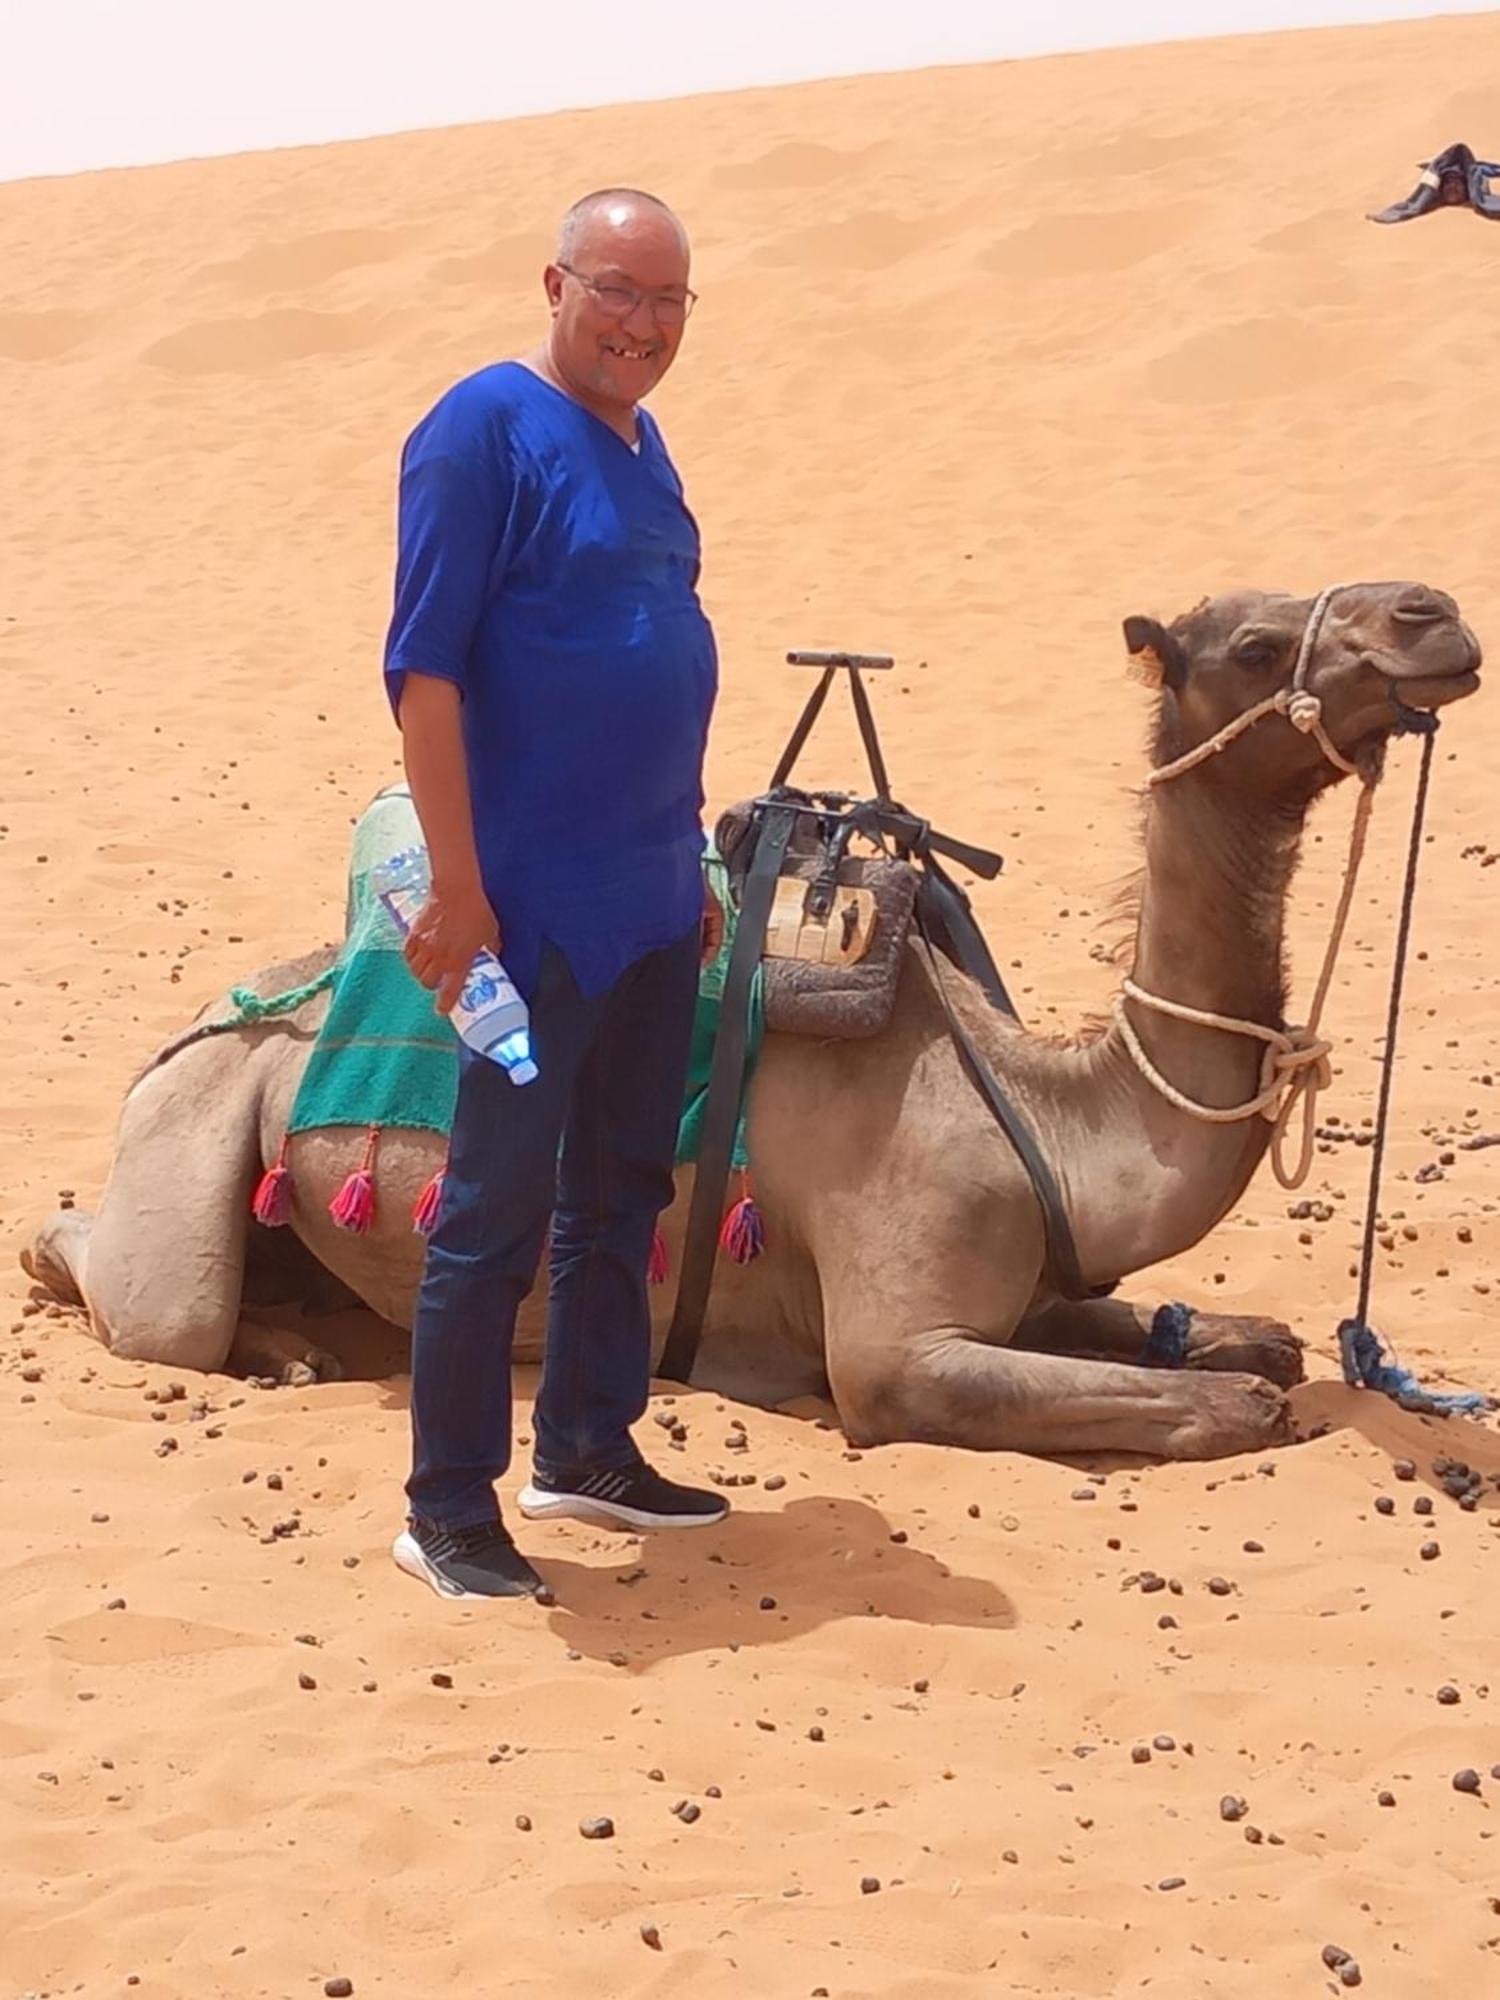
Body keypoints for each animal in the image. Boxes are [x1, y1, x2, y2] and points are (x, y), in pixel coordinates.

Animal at [20, 580, 1480, 1456]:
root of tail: (192, 1031)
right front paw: (1249, 1388)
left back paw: (293, 1344)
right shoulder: (896, 1352)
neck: (1049, 1117)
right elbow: (1233, 1402)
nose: (1438, 615)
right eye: (1255, 644)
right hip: (188, 1133)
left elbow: (1230, 1339)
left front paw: (1244, 1332)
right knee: (146, 1295)